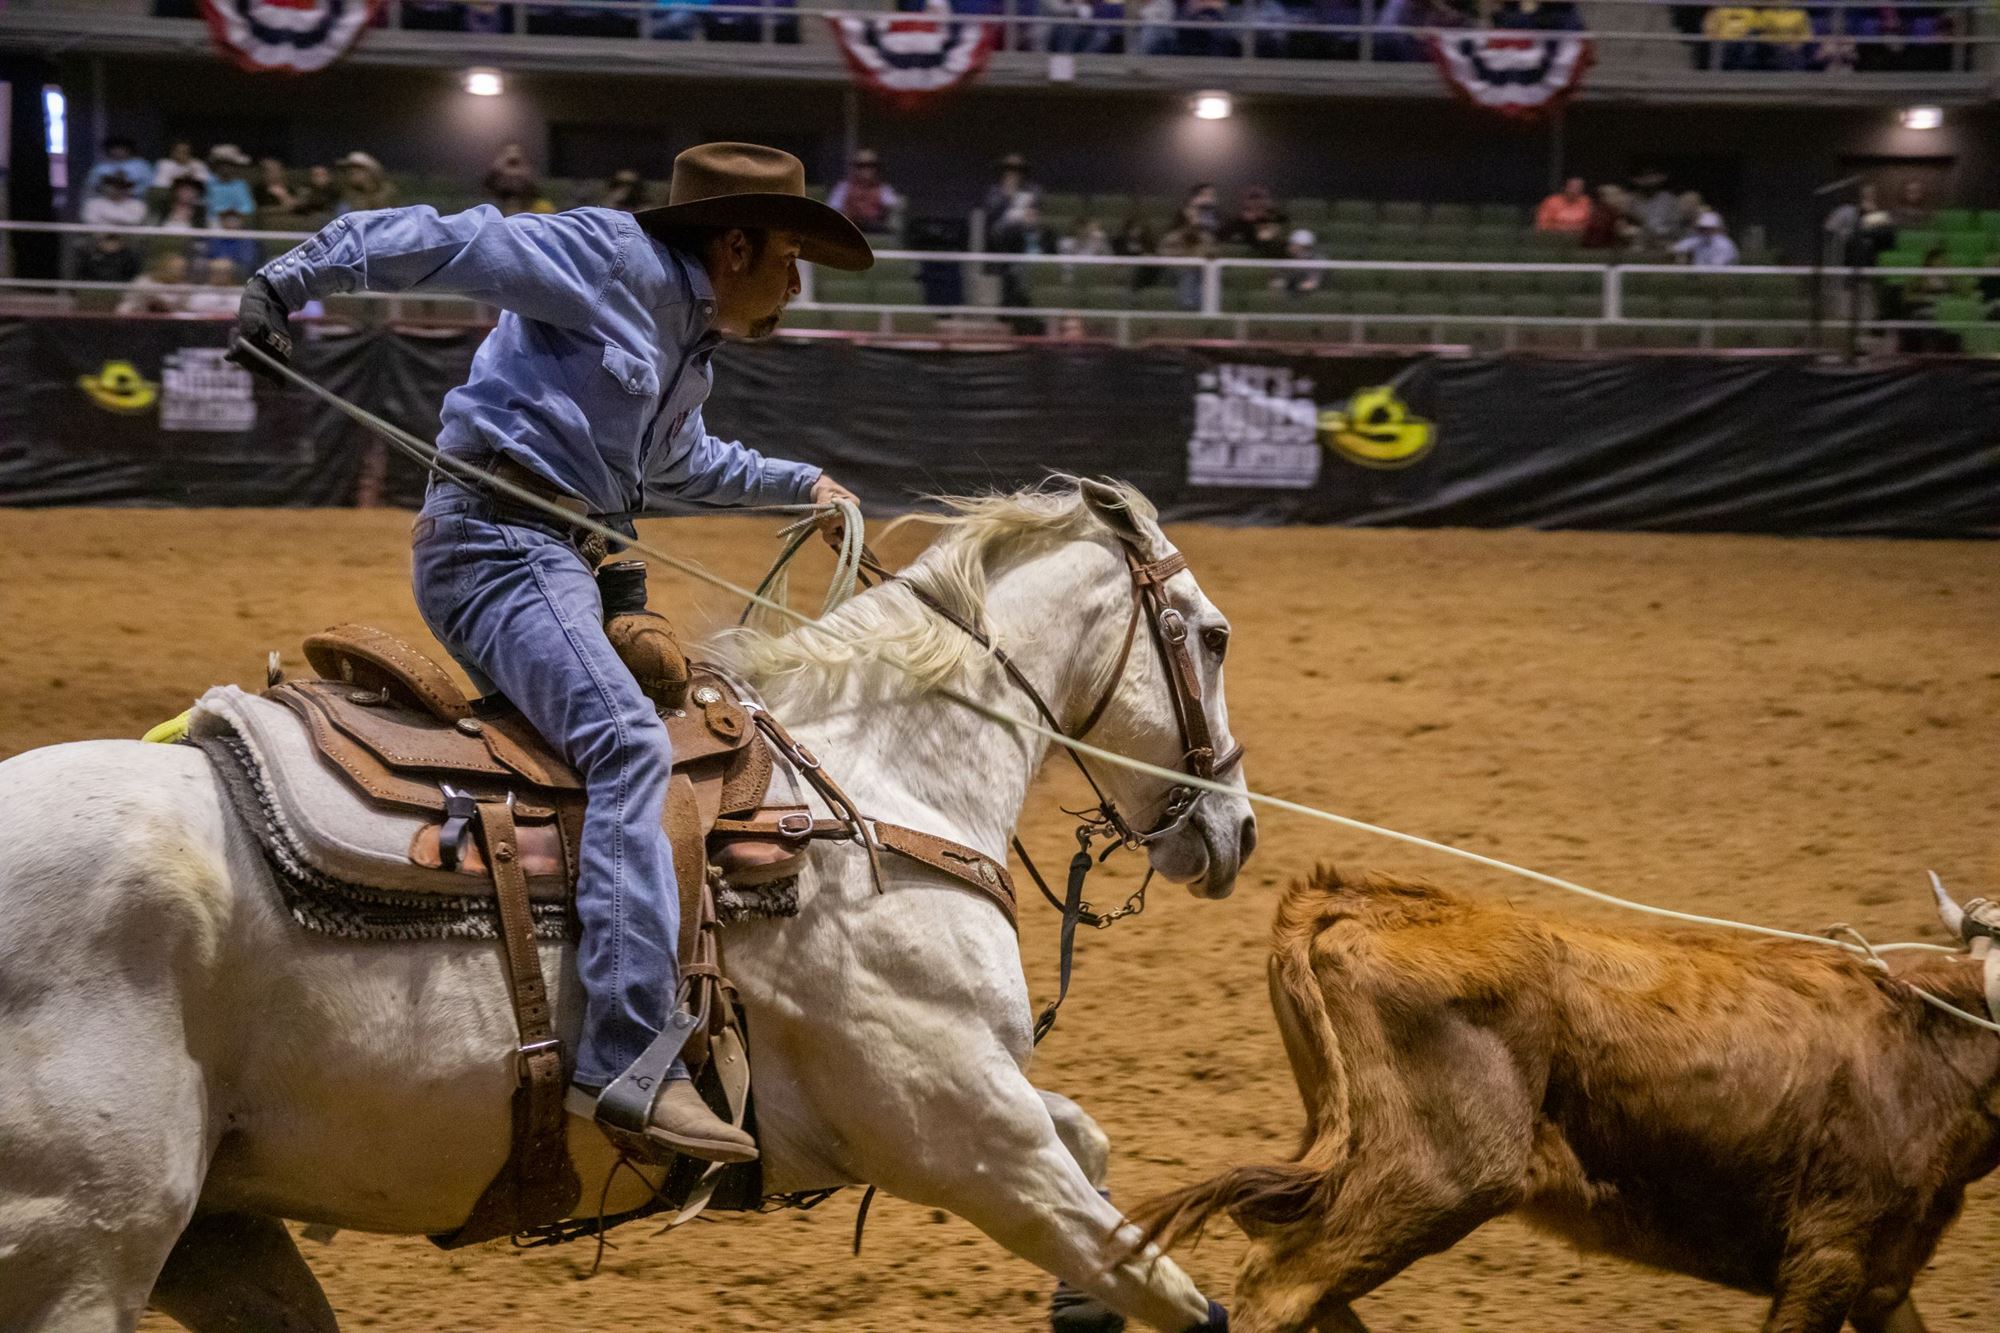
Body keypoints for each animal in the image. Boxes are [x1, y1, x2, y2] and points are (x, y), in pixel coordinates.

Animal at [0, 478, 1248, 1328]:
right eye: (1214, 634)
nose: (1236, 829)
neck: (871, 792)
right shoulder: (959, 1129)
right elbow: (1167, 1283)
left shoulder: (989, 1106)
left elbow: (1094, 1146)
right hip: (88, 1248)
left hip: (216, 1236)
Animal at [1144, 868, 2000, 1320]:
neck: (1922, 1041)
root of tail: (1353, 900)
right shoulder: (1824, 1258)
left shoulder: (1883, 1278)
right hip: (1432, 1180)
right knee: (1279, 1284)